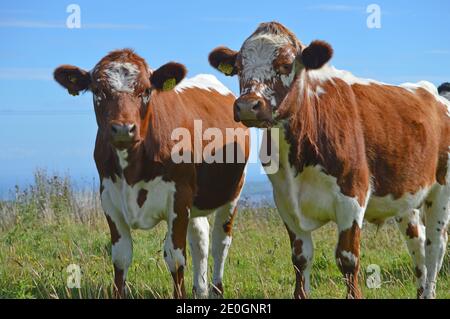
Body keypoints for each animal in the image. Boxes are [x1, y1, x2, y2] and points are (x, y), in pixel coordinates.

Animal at [54, 48, 250, 298]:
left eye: (146, 90)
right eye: (98, 91)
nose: (123, 129)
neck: (132, 170)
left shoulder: (179, 197)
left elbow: (175, 257)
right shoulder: (108, 198)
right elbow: (121, 256)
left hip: (233, 190)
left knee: (220, 243)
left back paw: (216, 289)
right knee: (201, 239)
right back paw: (201, 289)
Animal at [210, 21, 450, 298]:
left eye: (286, 64)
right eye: (238, 67)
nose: (248, 105)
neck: (298, 159)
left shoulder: (352, 197)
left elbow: (347, 259)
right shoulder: (286, 203)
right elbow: (300, 260)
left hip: (441, 191)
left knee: (435, 246)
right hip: (405, 196)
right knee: (417, 243)